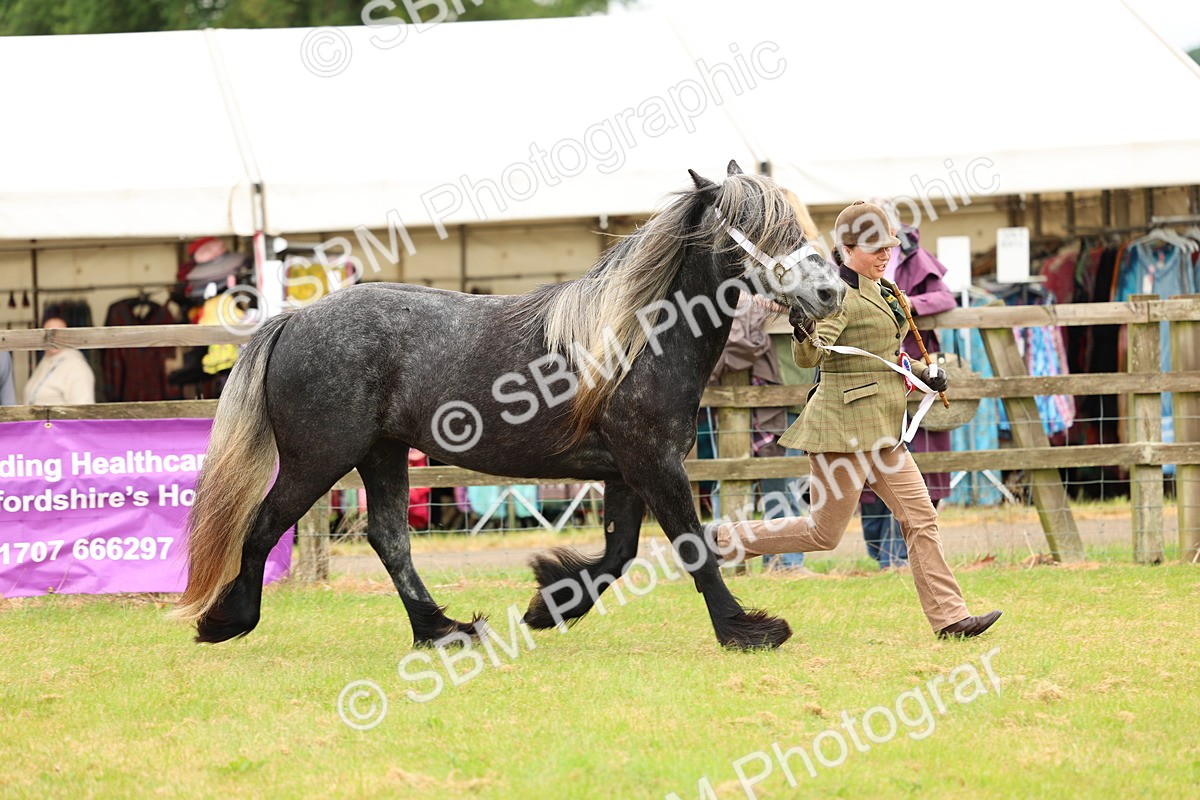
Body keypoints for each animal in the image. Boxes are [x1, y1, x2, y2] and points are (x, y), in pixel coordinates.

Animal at [170, 160, 845, 651]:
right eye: (760, 229)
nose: (830, 291)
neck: (636, 338)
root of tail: (293, 319)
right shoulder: (653, 464)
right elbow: (692, 547)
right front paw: (747, 630)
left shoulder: (626, 471)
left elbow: (619, 554)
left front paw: (549, 602)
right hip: (319, 459)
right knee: (263, 526)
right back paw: (227, 621)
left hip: (381, 454)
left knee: (389, 539)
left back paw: (443, 631)